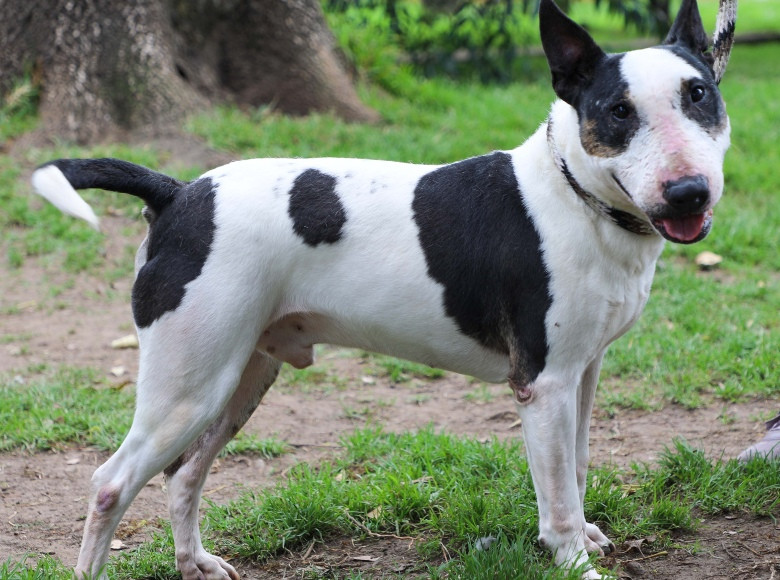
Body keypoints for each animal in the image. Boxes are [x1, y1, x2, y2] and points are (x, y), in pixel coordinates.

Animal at [30, 0, 736, 576]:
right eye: (618, 112)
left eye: (699, 94)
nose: (688, 192)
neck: (576, 193)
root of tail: (177, 194)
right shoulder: (544, 386)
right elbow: (556, 499)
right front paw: (574, 562)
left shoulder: (582, 374)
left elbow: (580, 469)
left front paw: (586, 536)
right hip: (187, 387)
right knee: (112, 484)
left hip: (237, 379)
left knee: (184, 475)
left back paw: (194, 562)